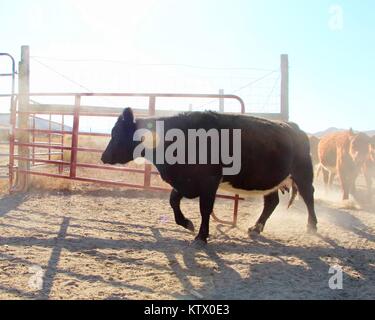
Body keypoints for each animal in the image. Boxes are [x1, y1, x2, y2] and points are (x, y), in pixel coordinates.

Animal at [102, 107, 318, 245]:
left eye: (117, 133)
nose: (104, 157)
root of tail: (295, 128)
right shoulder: (186, 182)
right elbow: (173, 200)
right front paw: (187, 223)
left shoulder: (208, 183)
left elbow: (205, 209)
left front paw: (201, 236)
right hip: (269, 181)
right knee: (271, 202)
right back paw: (256, 228)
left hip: (303, 173)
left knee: (308, 196)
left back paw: (312, 226)